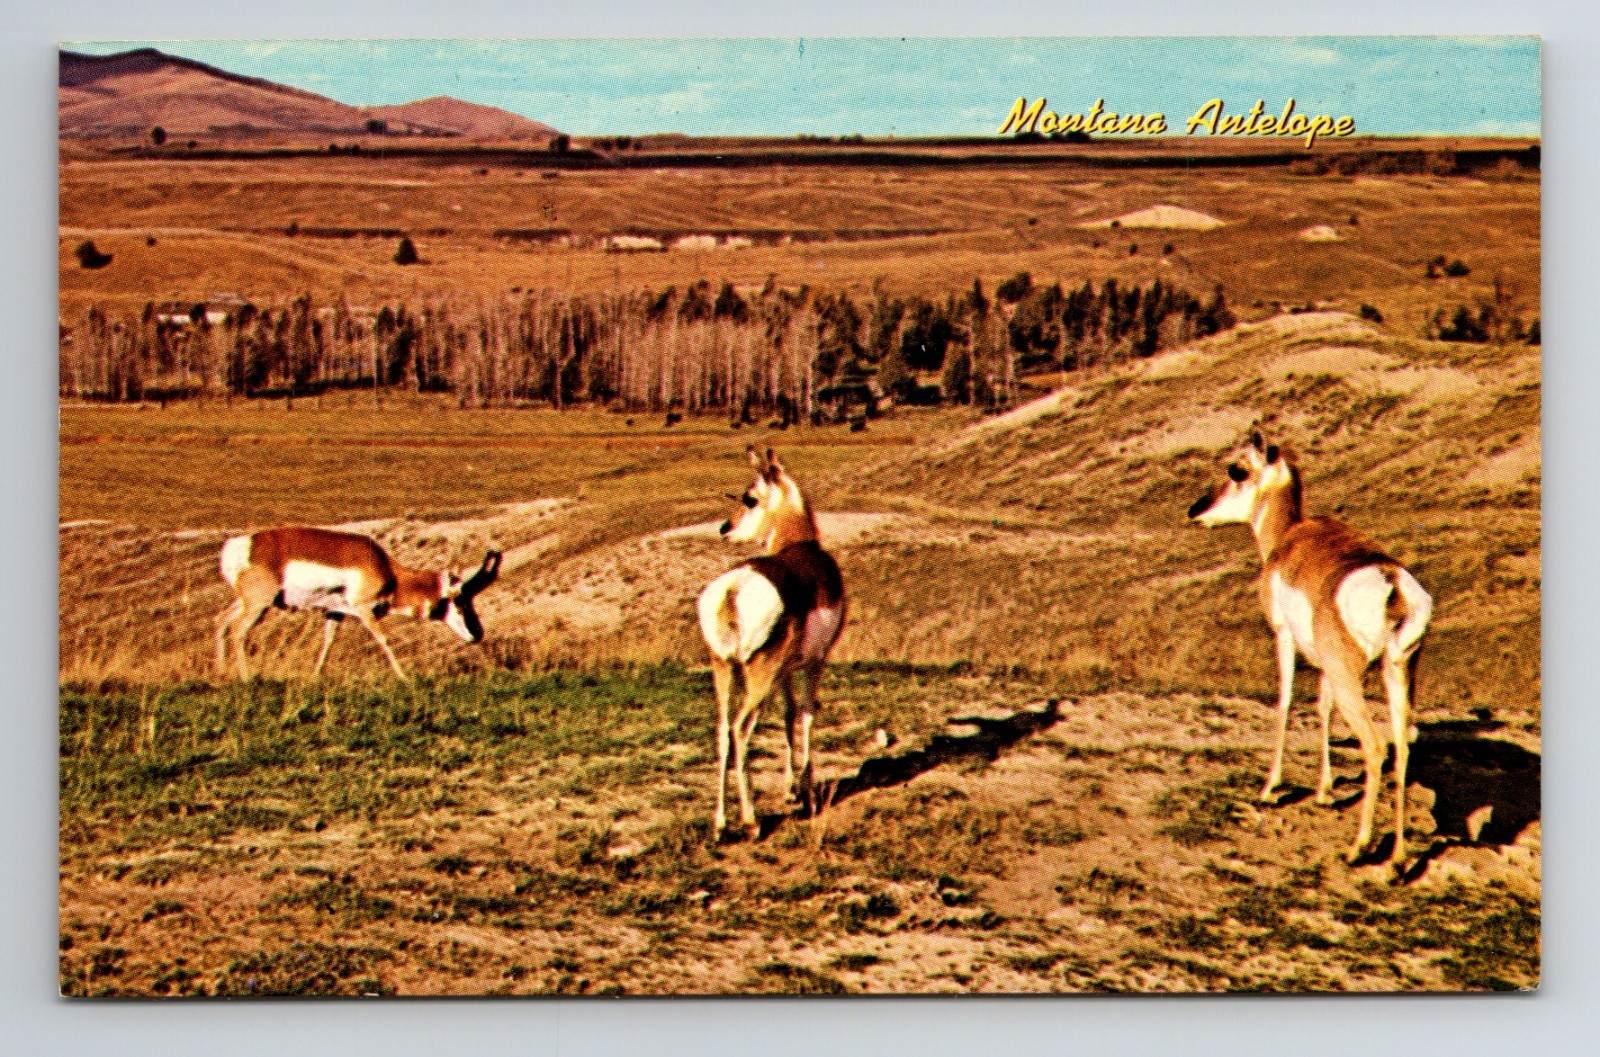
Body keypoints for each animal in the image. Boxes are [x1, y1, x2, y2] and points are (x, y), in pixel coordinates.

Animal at [214, 526, 501, 681]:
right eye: (460, 601)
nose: (477, 634)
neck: (387, 570)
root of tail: (239, 545)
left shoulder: (334, 612)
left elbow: (328, 641)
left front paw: (315, 676)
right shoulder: (364, 609)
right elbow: (383, 639)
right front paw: (404, 677)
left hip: (246, 602)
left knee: (220, 621)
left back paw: (221, 674)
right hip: (258, 604)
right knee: (238, 630)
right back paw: (245, 678)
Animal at [697, 447, 846, 839]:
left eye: (749, 498)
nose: (725, 528)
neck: (801, 546)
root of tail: (732, 589)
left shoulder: (785, 672)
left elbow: (788, 713)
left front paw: (791, 788)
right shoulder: (815, 662)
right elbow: (807, 714)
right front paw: (806, 791)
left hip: (725, 670)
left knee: (722, 730)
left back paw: (720, 824)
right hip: (757, 677)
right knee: (740, 729)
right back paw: (750, 821)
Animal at [1187, 432, 1431, 866]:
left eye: (1237, 469)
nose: (1196, 510)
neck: (1289, 538)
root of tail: (1393, 586)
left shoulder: (1283, 637)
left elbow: (1285, 702)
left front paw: (1270, 787)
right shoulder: (1325, 667)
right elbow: (1322, 708)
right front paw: (1324, 791)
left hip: (1354, 679)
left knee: (1375, 746)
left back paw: (1359, 847)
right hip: (1398, 674)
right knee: (1401, 747)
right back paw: (1397, 858)